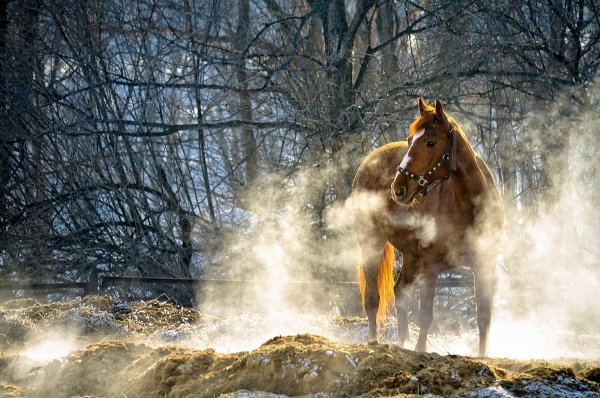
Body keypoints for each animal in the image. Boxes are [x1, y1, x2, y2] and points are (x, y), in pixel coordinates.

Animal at [354, 98, 504, 356]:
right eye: (409, 140)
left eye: (430, 142)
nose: (399, 188)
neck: (468, 207)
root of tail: (368, 162)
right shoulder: (432, 266)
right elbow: (425, 314)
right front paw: (420, 350)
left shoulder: (484, 263)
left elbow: (483, 314)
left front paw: (481, 355)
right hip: (371, 241)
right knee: (372, 297)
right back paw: (373, 342)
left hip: (411, 256)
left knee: (401, 293)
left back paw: (401, 343)